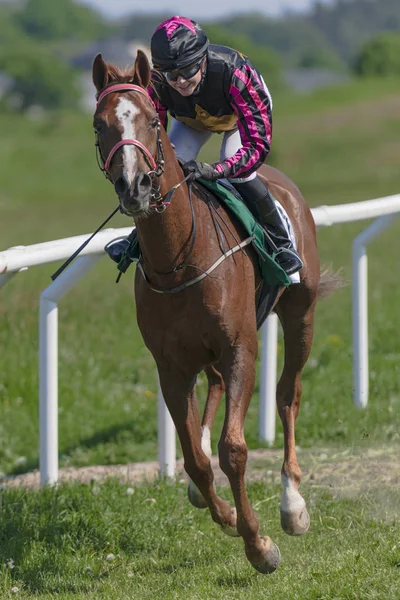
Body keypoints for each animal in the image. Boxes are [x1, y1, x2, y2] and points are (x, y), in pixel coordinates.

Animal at [93, 50, 324, 572]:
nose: (134, 187)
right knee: (215, 392)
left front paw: (259, 544)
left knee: (289, 394)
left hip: (300, 314)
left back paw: (292, 504)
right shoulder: (170, 366)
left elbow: (232, 449)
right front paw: (229, 517)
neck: (180, 260)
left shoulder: (241, 347)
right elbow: (195, 461)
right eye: (100, 125)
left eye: (153, 120)